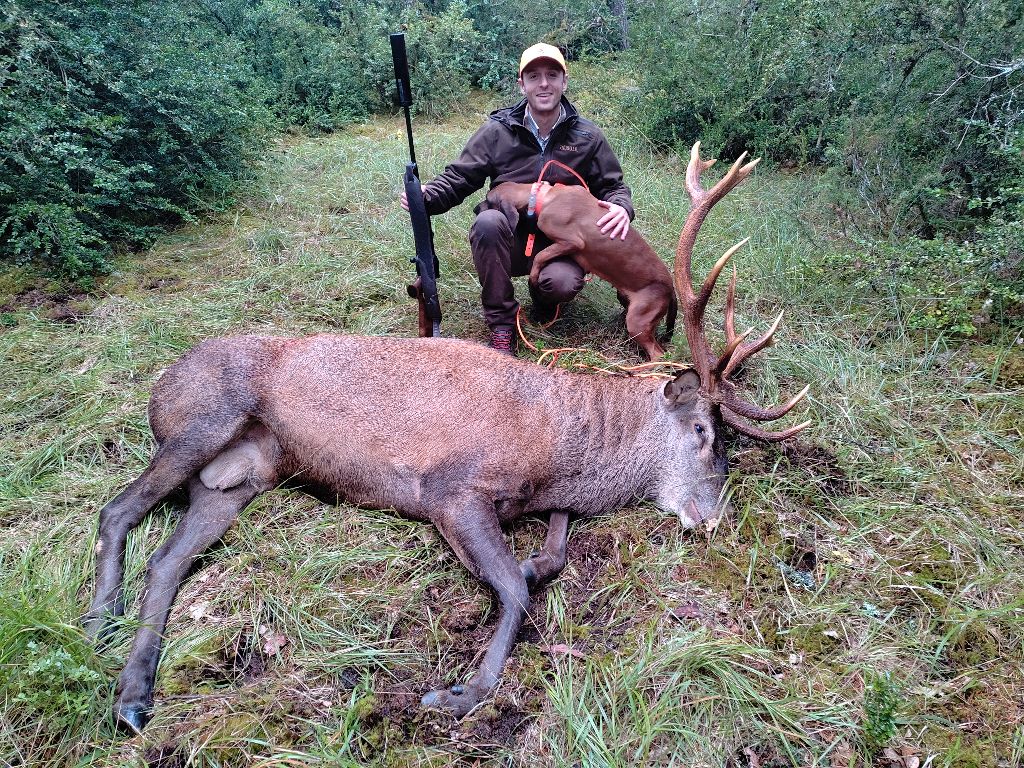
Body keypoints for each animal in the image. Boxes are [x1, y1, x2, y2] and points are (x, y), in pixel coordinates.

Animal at [487, 182, 679, 360]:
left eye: (488, 201)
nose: (478, 208)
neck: (546, 196)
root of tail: (671, 289)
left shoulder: (571, 242)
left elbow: (540, 256)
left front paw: (533, 278)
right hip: (630, 305)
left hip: (637, 321)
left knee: (658, 354)